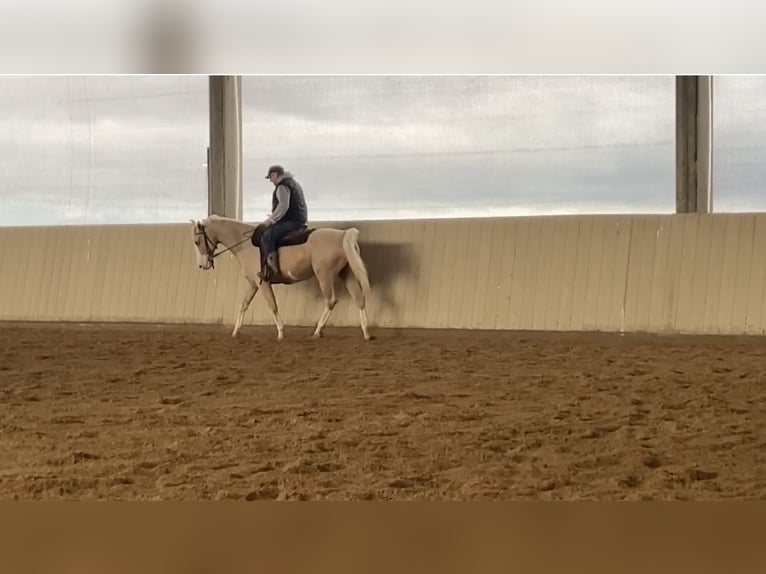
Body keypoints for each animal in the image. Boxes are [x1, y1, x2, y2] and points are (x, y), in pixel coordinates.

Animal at [191, 216, 372, 342]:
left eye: (197, 241)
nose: (202, 265)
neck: (245, 245)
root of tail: (342, 234)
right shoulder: (253, 284)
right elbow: (244, 305)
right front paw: (235, 331)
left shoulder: (262, 283)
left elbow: (272, 305)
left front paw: (280, 332)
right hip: (346, 273)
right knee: (359, 298)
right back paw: (366, 332)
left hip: (324, 276)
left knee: (331, 300)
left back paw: (317, 331)